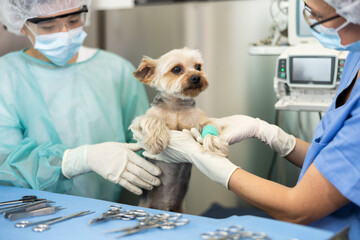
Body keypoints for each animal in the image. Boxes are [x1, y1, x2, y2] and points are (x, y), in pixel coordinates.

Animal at [130, 47, 228, 212]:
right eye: (176, 69)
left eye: (198, 67)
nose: (196, 77)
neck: (176, 106)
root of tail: (164, 207)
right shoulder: (141, 119)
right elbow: (153, 120)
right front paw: (156, 142)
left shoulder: (199, 120)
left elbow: (210, 126)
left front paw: (214, 143)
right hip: (145, 204)